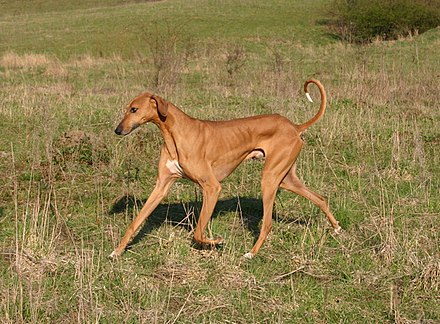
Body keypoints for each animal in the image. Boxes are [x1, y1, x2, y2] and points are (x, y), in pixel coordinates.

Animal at [109, 79, 340, 260]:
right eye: (127, 109)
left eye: (134, 109)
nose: (117, 130)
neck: (174, 133)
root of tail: (294, 126)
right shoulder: (161, 186)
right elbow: (135, 222)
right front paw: (117, 251)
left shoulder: (212, 188)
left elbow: (198, 231)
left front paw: (216, 242)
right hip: (285, 179)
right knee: (320, 199)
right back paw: (336, 228)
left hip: (269, 179)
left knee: (267, 224)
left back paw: (251, 253)